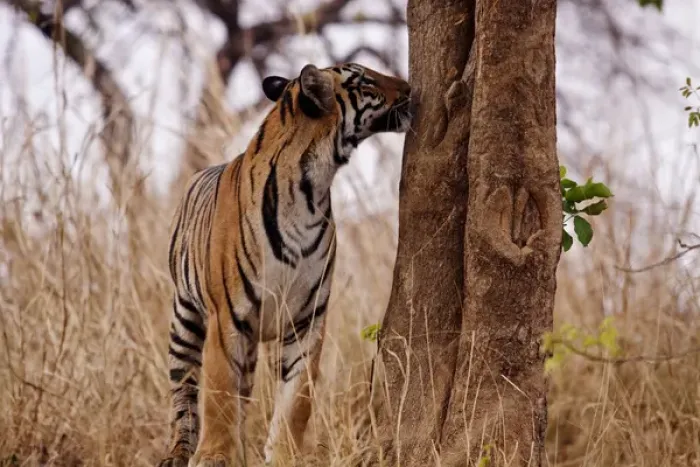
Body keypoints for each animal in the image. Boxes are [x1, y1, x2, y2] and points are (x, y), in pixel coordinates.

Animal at [158, 62, 412, 467]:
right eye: (365, 80)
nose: (409, 87)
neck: (312, 188)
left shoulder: (307, 319)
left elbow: (297, 399)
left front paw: (285, 455)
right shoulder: (226, 318)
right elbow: (218, 393)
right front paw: (214, 456)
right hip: (185, 320)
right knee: (184, 391)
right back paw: (179, 451)